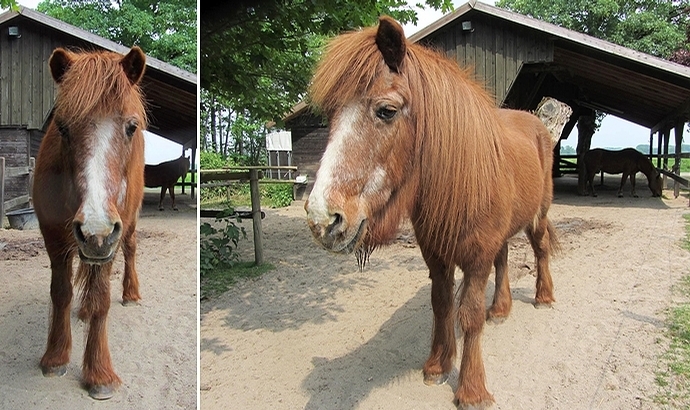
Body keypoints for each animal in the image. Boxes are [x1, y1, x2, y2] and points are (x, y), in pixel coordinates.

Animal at [31, 46, 146, 398]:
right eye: (63, 128)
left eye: (131, 127)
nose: (96, 229)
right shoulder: (55, 238)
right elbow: (61, 292)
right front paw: (55, 357)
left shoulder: (109, 242)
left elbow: (100, 299)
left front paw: (98, 374)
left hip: (125, 227)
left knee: (130, 249)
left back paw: (131, 294)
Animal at [306, 15, 560, 406]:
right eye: (331, 115)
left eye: (387, 111)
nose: (324, 219)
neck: (457, 178)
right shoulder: (437, 255)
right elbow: (442, 305)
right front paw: (438, 366)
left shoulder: (475, 257)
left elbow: (469, 316)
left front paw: (471, 390)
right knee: (503, 259)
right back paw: (500, 309)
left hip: (538, 216)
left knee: (541, 248)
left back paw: (543, 297)